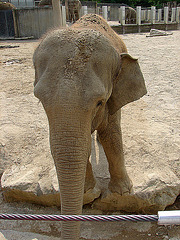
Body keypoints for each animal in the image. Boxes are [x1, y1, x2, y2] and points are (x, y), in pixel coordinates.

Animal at [33, 13, 147, 240]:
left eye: (100, 102)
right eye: (40, 99)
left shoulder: (113, 96)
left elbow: (112, 134)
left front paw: (122, 192)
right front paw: (88, 192)